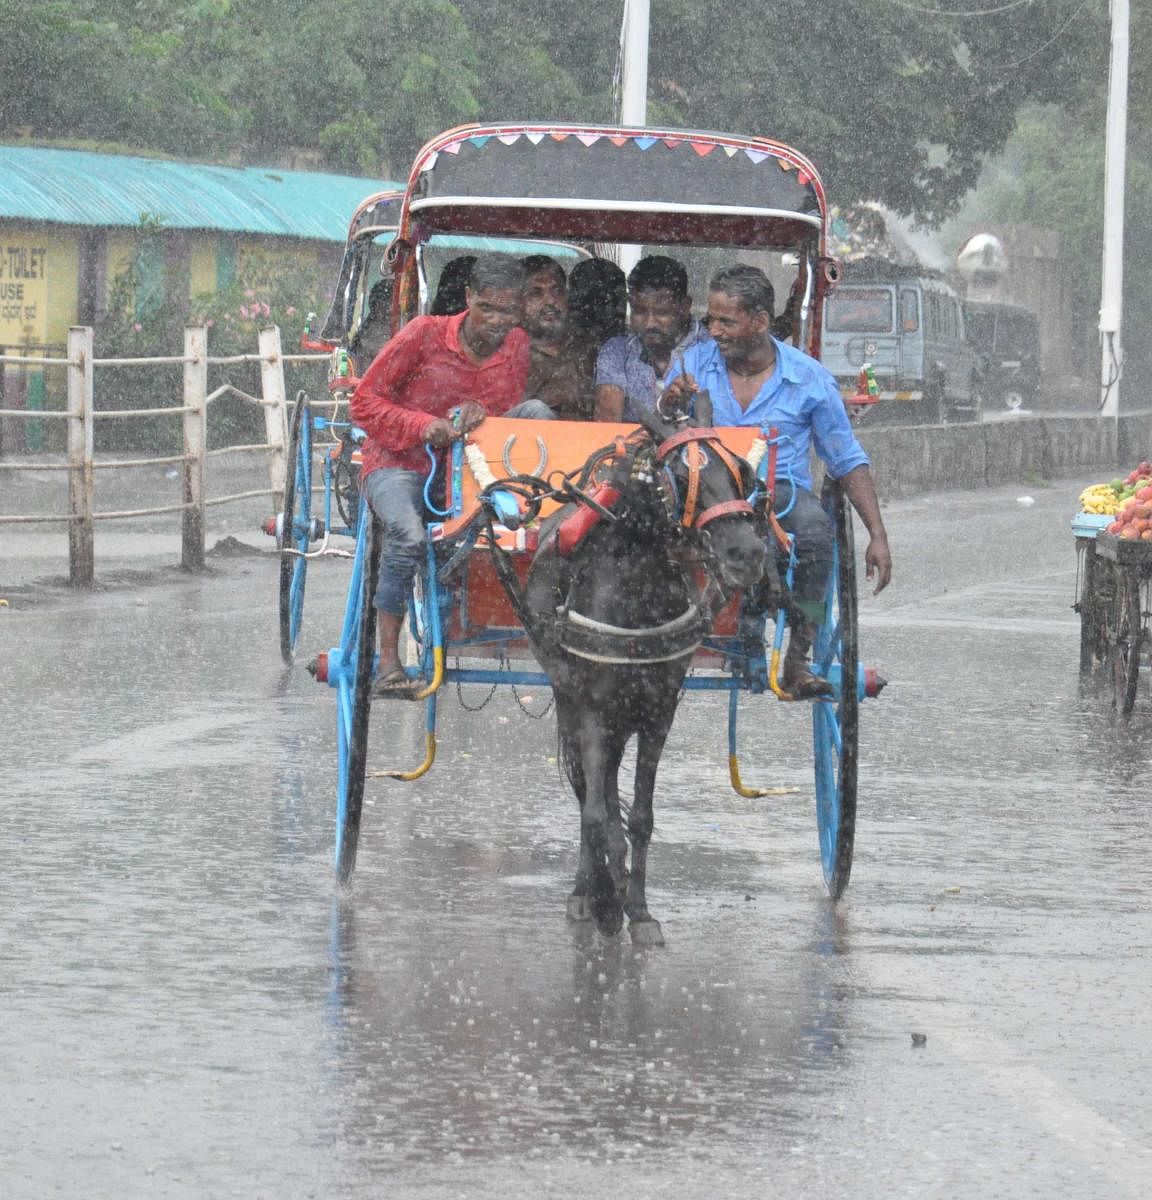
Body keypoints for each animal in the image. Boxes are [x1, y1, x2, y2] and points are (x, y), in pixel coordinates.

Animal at [518, 403, 768, 945]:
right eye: (680, 476)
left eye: (741, 471)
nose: (747, 553)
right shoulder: (593, 710)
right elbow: (595, 811)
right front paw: (606, 901)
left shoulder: (657, 714)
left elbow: (641, 816)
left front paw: (638, 907)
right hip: (570, 699)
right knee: (589, 792)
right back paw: (588, 889)